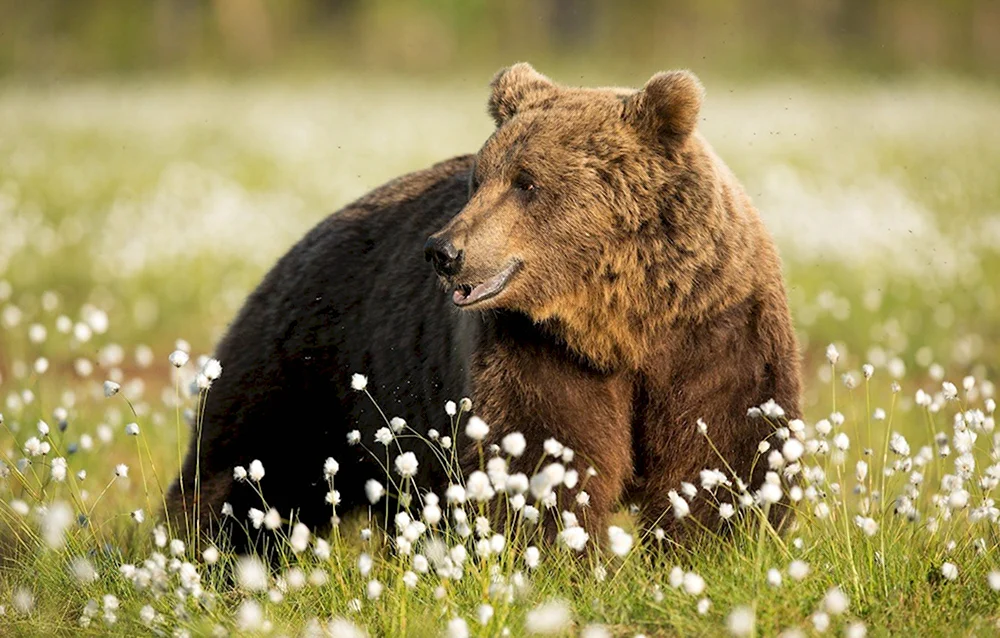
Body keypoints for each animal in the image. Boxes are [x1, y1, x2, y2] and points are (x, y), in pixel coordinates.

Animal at [168, 65, 800, 552]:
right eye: (479, 176)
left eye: (526, 182)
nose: (444, 251)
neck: (619, 321)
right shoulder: (532, 346)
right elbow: (541, 452)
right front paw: (560, 559)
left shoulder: (714, 326)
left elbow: (724, 447)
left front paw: (713, 548)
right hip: (308, 367)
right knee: (246, 466)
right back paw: (210, 551)